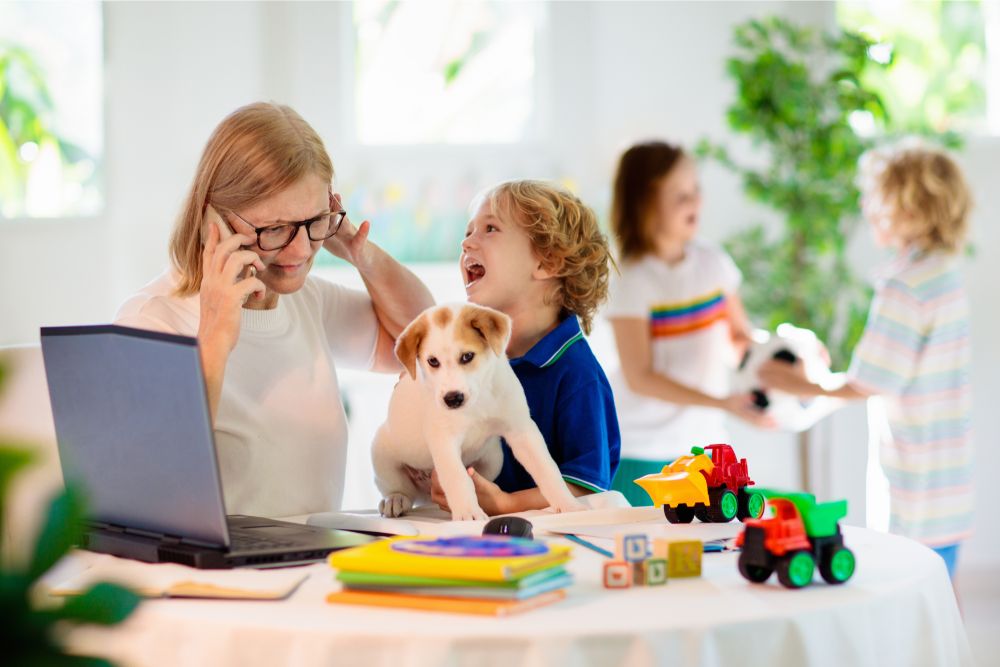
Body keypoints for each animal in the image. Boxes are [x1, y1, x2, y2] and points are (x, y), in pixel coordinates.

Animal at [372, 302, 584, 520]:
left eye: (467, 356)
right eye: (433, 361)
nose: (452, 399)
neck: (478, 401)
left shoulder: (521, 430)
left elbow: (547, 468)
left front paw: (568, 504)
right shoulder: (444, 441)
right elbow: (458, 478)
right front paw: (468, 514)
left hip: (494, 459)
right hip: (381, 454)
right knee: (399, 488)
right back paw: (395, 500)